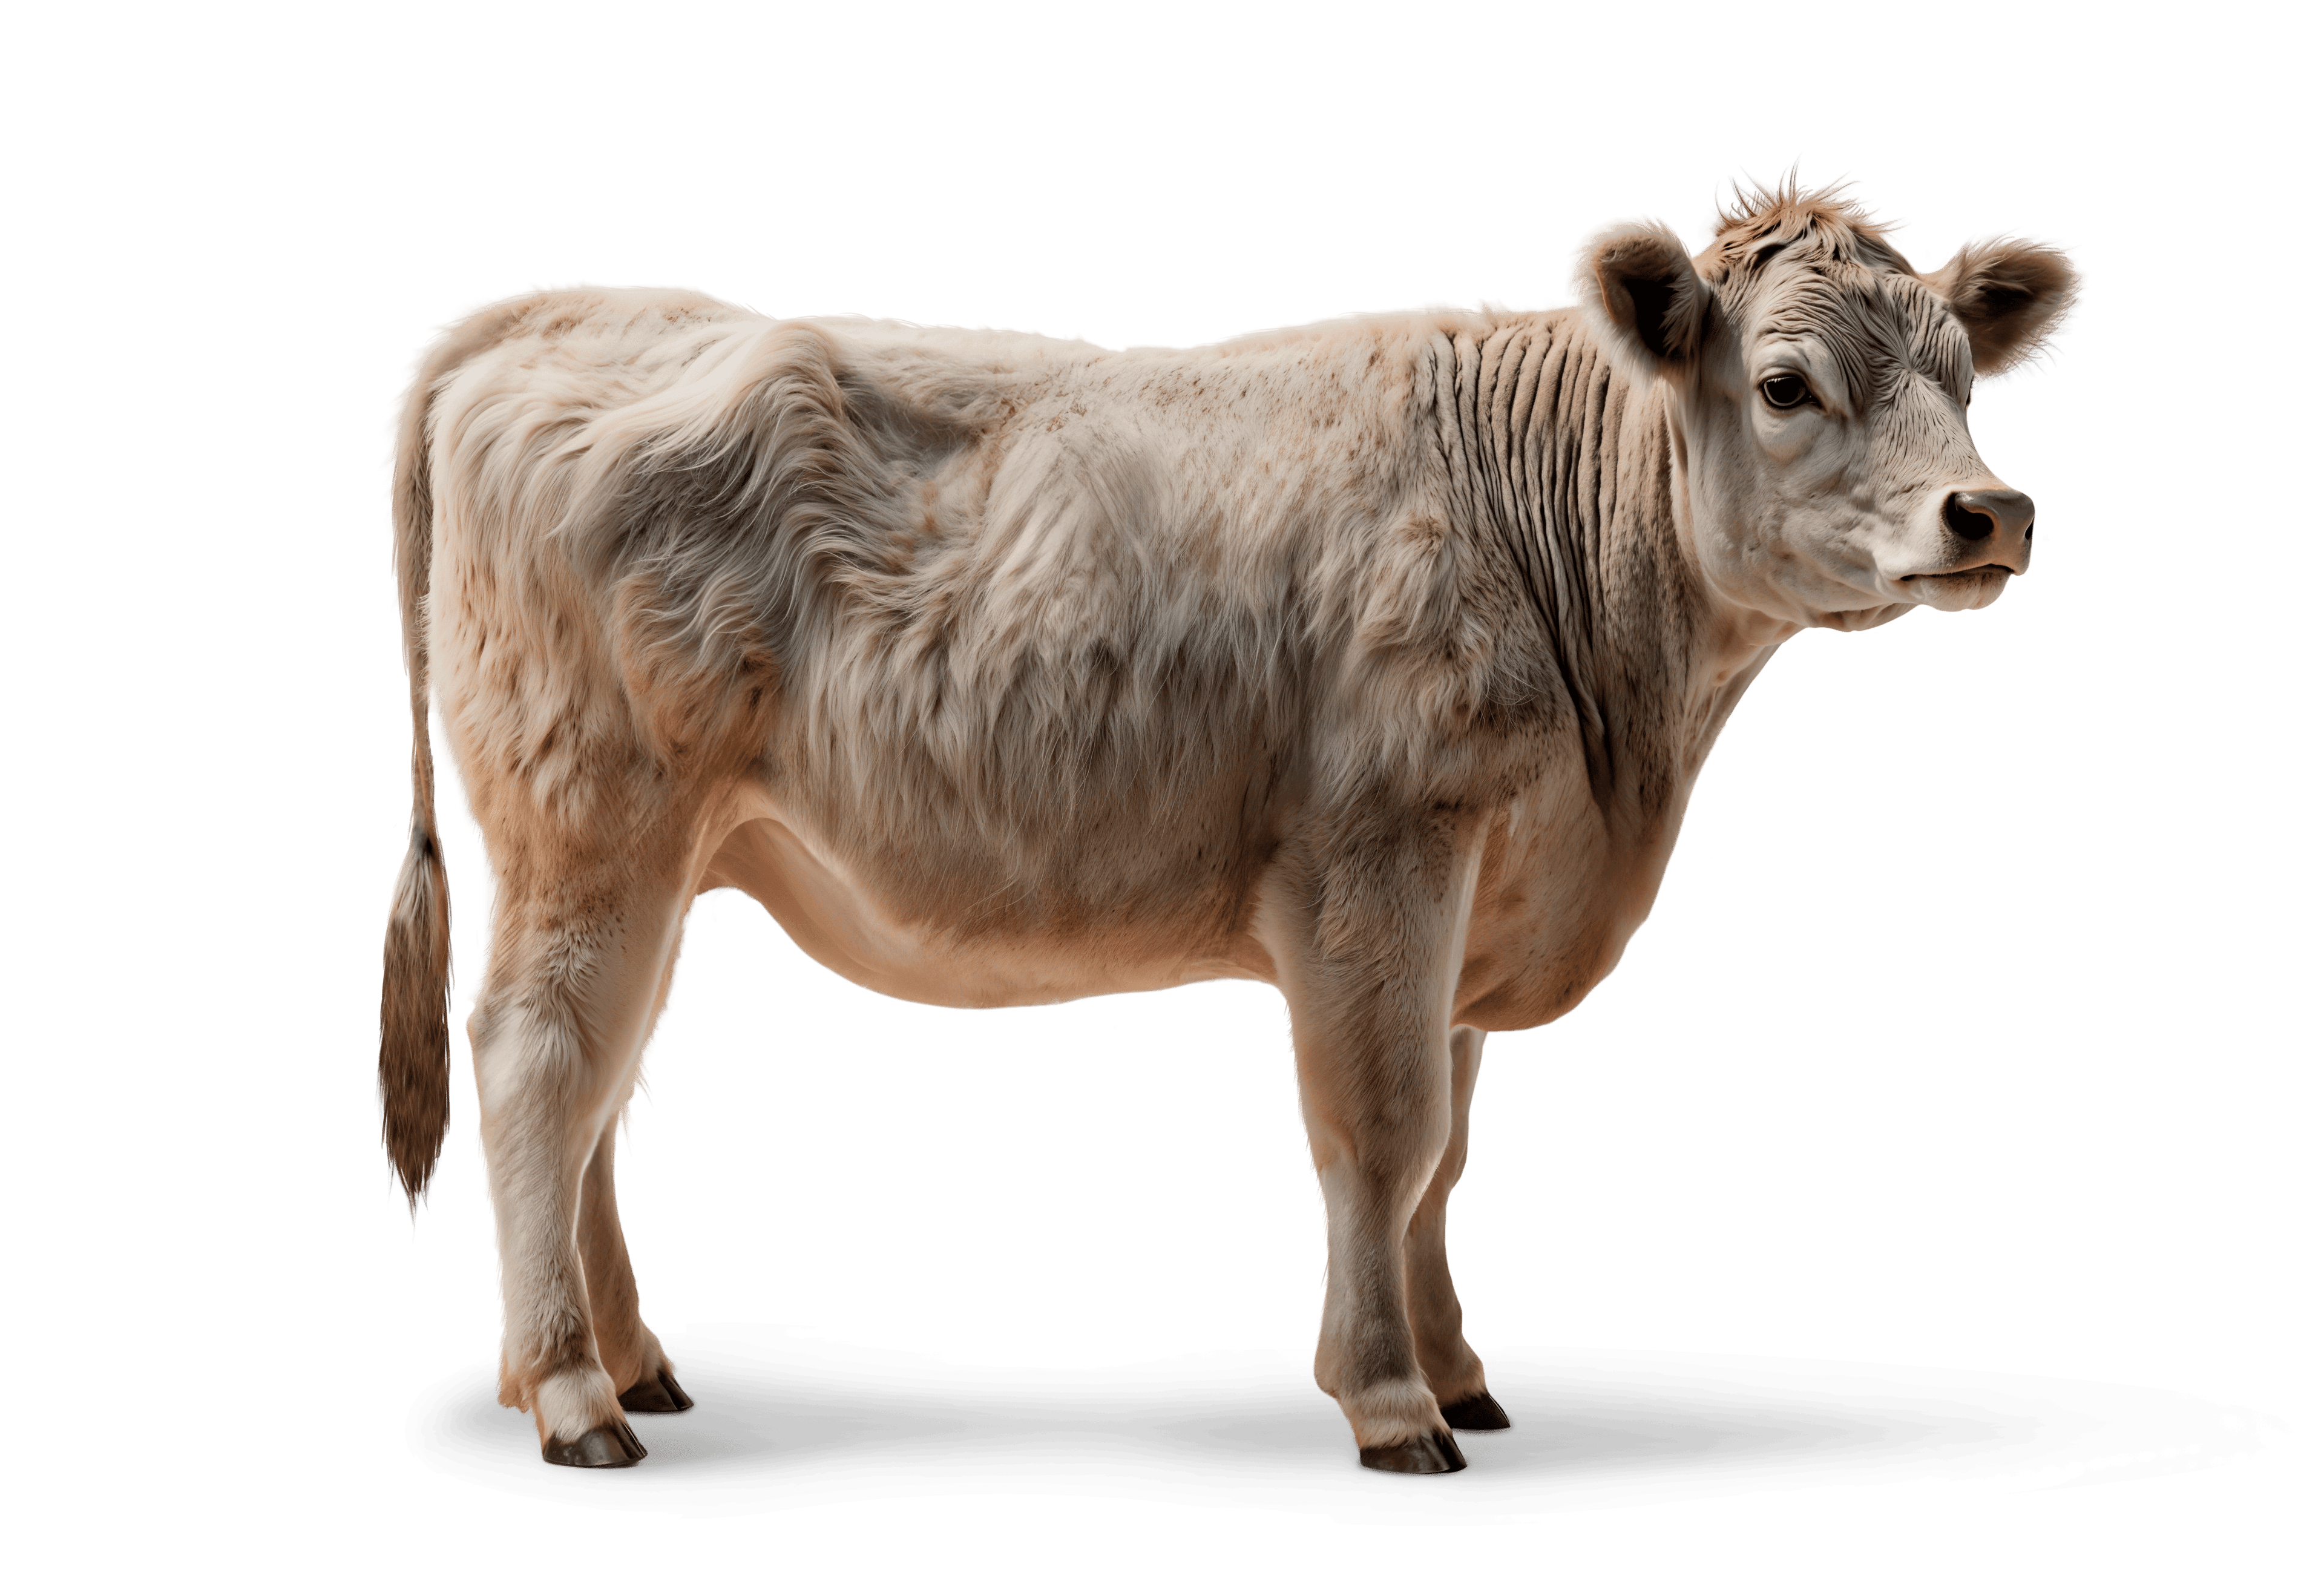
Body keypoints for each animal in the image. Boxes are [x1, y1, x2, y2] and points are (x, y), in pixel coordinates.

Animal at [376, 164, 2085, 1476]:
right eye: (1787, 385)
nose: (1987, 512)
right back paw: (573, 1395)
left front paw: (1461, 1372)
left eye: (1963, 375)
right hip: (591, 817)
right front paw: (1390, 1402)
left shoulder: (1473, 886)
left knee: (602, 1087)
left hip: (664, 856)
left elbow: (1446, 1154)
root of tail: (545, 311)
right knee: (539, 1062)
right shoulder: (1380, 854)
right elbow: (1385, 1131)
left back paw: (631, 1362)